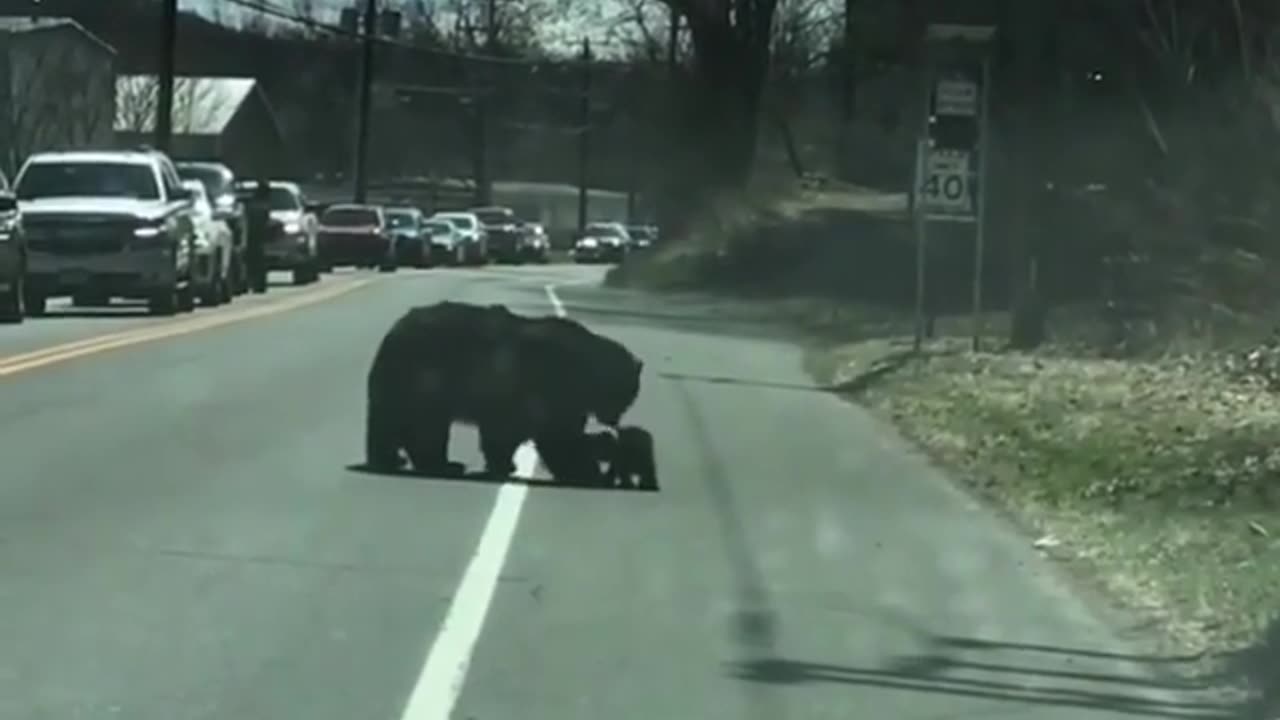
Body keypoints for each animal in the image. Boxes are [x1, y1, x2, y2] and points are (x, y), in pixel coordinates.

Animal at [363, 299, 640, 479]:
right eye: (628, 393)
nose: (615, 420)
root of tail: (393, 331)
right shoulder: (546, 385)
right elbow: (554, 434)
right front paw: (586, 471)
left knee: (402, 423)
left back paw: (402, 459)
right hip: (425, 375)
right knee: (422, 426)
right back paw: (434, 463)